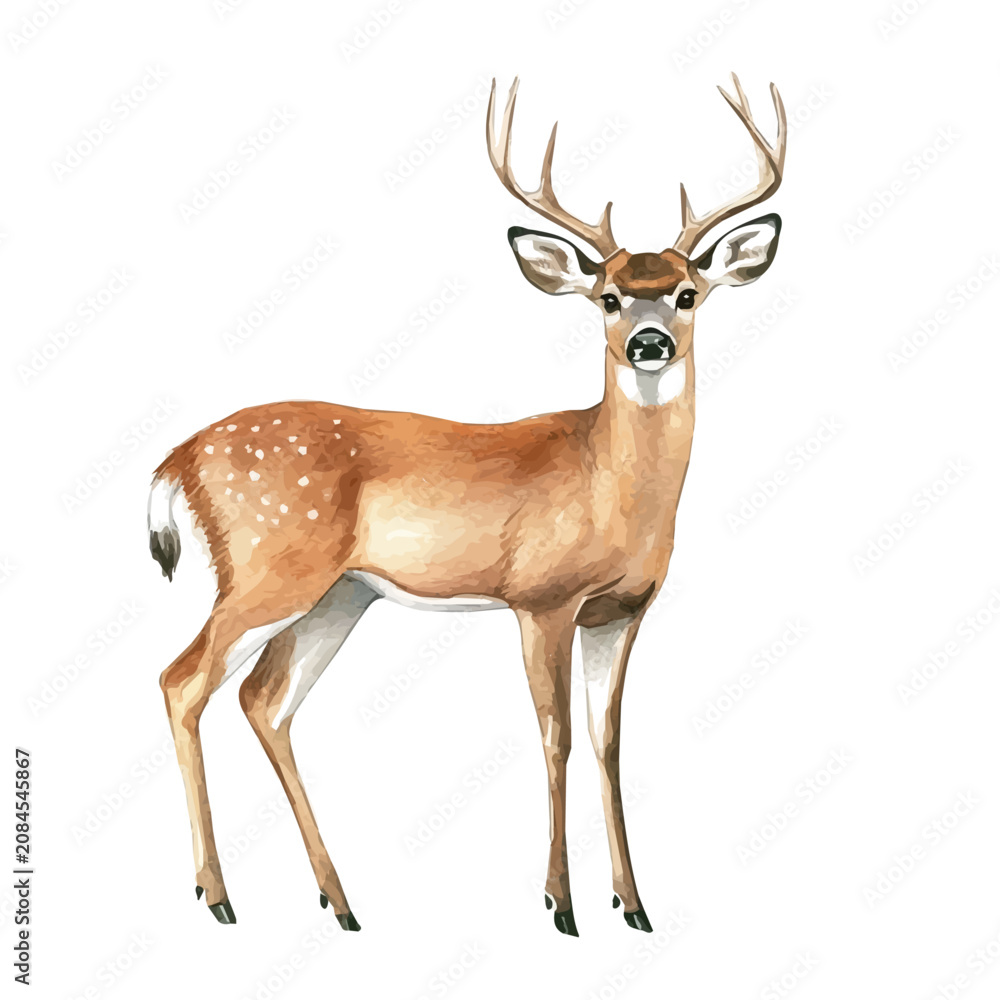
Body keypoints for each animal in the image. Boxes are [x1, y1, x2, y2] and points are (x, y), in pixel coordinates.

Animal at [149, 73, 786, 936]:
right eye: (609, 297)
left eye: (688, 294)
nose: (649, 344)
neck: (611, 488)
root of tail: (179, 456)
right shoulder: (541, 596)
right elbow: (556, 738)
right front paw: (560, 904)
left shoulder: (622, 609)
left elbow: (609, 740)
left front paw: (634, 904)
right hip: (268, 564)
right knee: (182, 681)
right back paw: (217, 896)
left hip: (338, 595)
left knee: (264, 701)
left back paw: (339, 901)